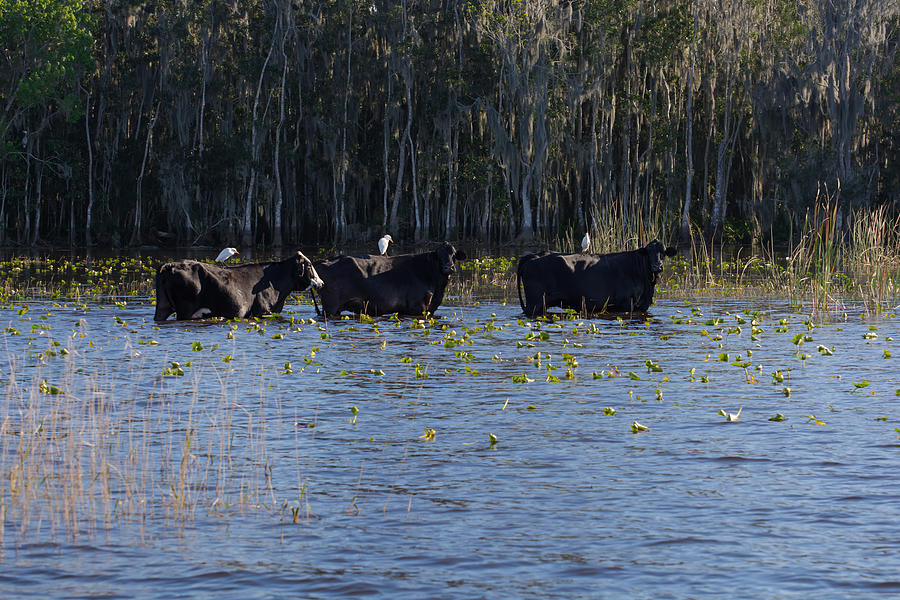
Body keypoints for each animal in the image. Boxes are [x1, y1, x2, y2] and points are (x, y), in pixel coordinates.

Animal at [154, 251, 324, 322]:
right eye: (309, 266)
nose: (321, 283)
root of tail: (171, 265)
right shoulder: (262, 311)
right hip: (185, 310)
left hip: (163, 306)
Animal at [512, 239, 676, 316]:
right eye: (649, 252)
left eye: (663, 252)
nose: (657, 266)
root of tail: (533, 255)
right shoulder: (627, 304)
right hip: (535, 304)